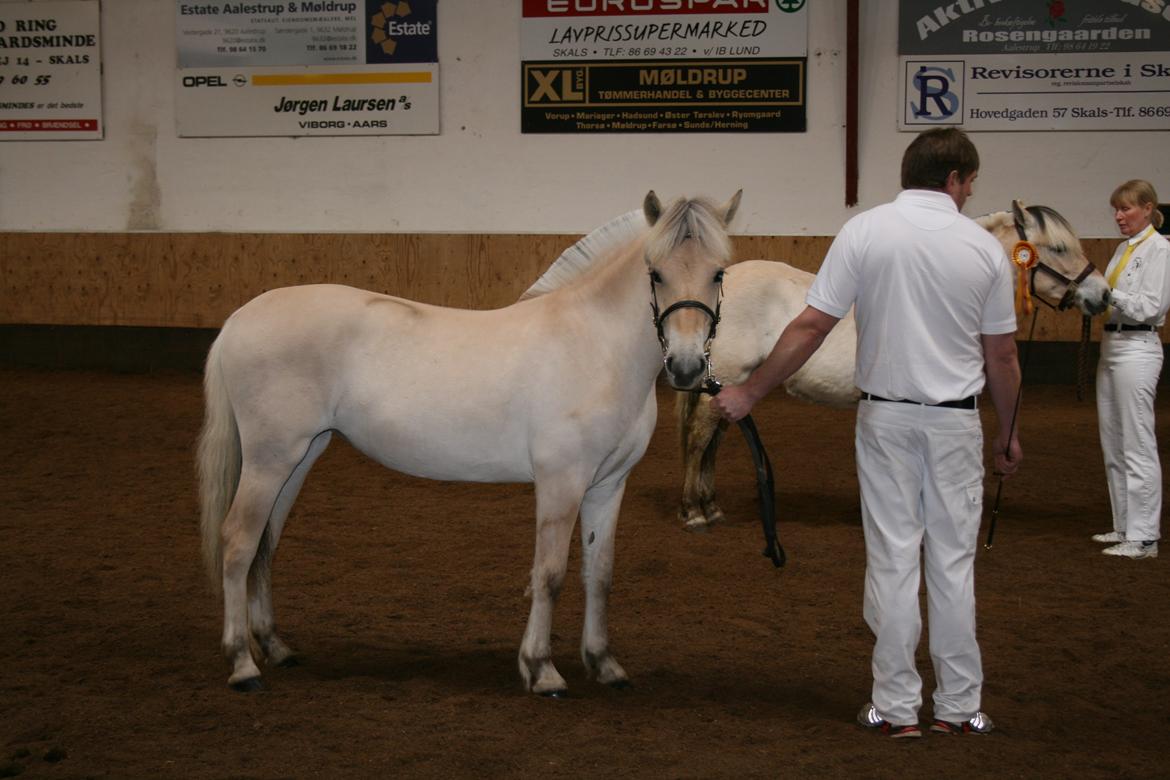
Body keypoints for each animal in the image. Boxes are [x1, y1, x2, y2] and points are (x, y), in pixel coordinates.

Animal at [194, 189, 739, 696]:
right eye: (656, 273)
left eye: (718, 273)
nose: (686, 368)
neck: (593, 345)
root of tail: (241, 317)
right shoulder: (561, 482)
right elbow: (550, 573)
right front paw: (542, 670)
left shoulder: (608, 485)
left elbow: (598, 573)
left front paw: (604, 664)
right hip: (269, 459)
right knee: (238, 542)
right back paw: (242, 665)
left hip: (299, 457)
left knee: (265, 544)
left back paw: (276, 648)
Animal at [673, 201, 1109, 530]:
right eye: (1057, 248)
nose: (1102, 294)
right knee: (699, 437)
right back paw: (693, 511)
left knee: (714, 439)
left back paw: (710, 505)